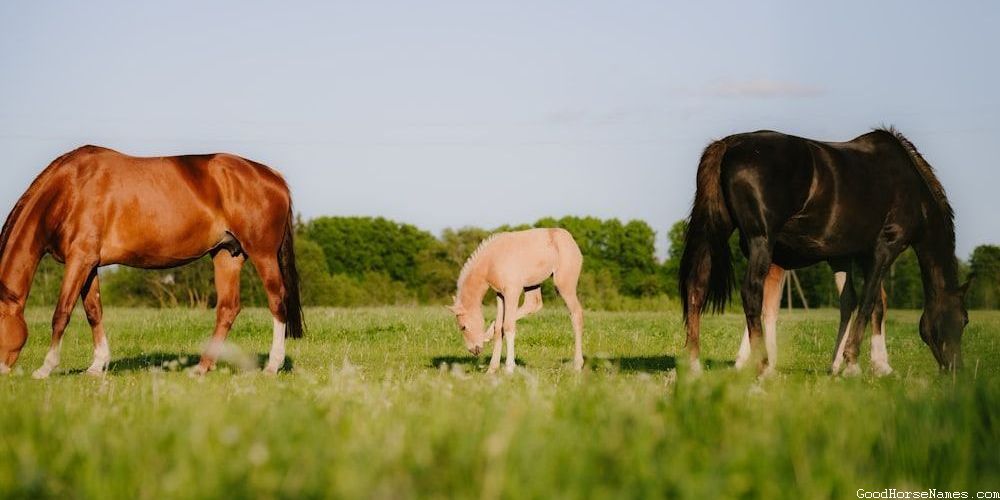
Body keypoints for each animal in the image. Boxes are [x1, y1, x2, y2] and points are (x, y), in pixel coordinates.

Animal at [0, 145, 304, 378]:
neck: (71, 188)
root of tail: (273, 176)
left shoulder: (80, 259)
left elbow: (61, 313)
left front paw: (45, 369)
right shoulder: (89, 264)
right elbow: (93, 311)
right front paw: (97, 366)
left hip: (262, 254)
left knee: (277, 302)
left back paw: (272, 366)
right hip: (227, 254)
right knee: (228, 309)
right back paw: (202, 367)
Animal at [449, 228, 584, 374]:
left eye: (463, 327)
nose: (473, 350)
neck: (492, 261)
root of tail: (570, 239)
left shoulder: (512, 292)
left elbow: (508, 326)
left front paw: (509, 368)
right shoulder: (500, 295)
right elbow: (499, 327)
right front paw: (492, 368)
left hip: (564, 284)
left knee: (576, 314)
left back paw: (577, 365)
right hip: (532, 284)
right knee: (533, 304)